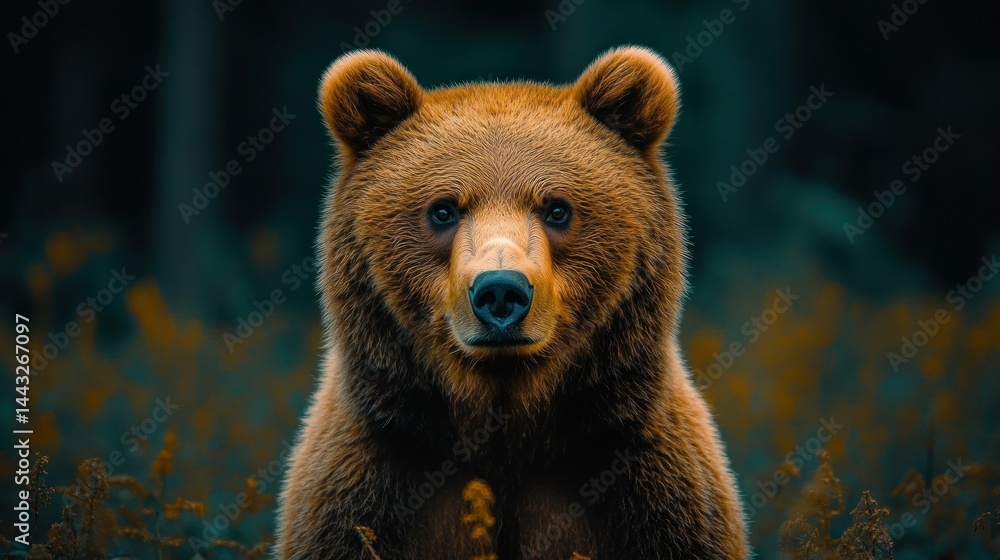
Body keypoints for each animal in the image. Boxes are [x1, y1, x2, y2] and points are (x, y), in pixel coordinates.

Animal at [276, 46, 748, 559]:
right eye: (443, 209)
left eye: (557, 207)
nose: (501, 291)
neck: (507, 418)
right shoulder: (378, 475)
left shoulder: (642, 482)